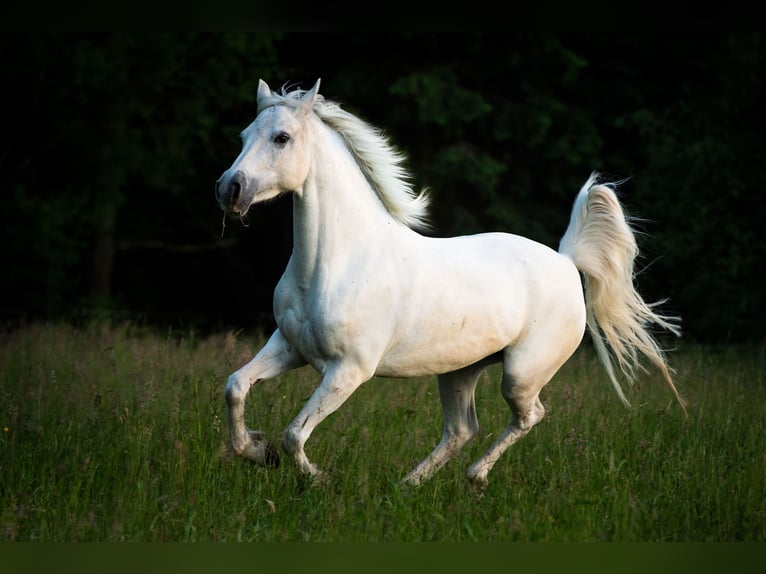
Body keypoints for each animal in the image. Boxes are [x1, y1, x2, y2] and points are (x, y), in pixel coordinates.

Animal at [213, 79, 688, 488]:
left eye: (282, 138)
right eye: (244, 135)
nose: (229, 190)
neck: (335, 263)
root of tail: (567, 262)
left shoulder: (348, 370)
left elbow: (294, 434)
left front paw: (315, 478)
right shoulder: (290, 347)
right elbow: (235, 386)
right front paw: (256, 450)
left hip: (521, 373)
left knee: (528, 416)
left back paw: (474, 478)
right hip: (460, 371)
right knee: (462, 429)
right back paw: (406, 486)